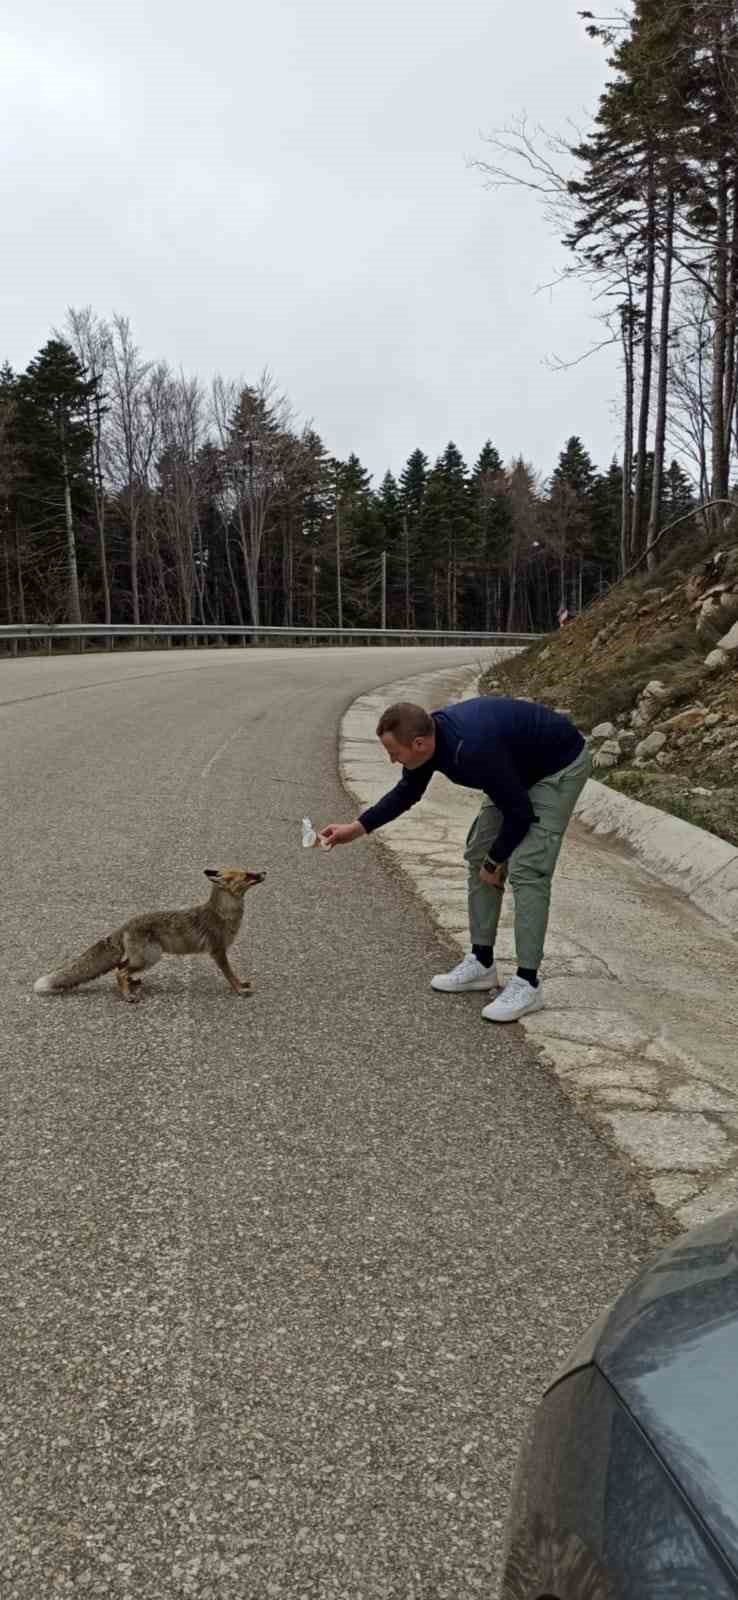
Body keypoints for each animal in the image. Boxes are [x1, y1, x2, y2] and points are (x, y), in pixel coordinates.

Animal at [34, 870, 265, 1004]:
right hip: (151, 957)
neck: (224, 914)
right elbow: (230, 975)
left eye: (249, 870)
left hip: (143, 958)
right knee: (119, 972)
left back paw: (132, 984)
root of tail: (124, 925)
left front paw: (241, 985)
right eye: (247, 875)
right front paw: (239, 990)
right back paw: (128, 996)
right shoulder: (218, 951)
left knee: (120, 968)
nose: (263, 871)